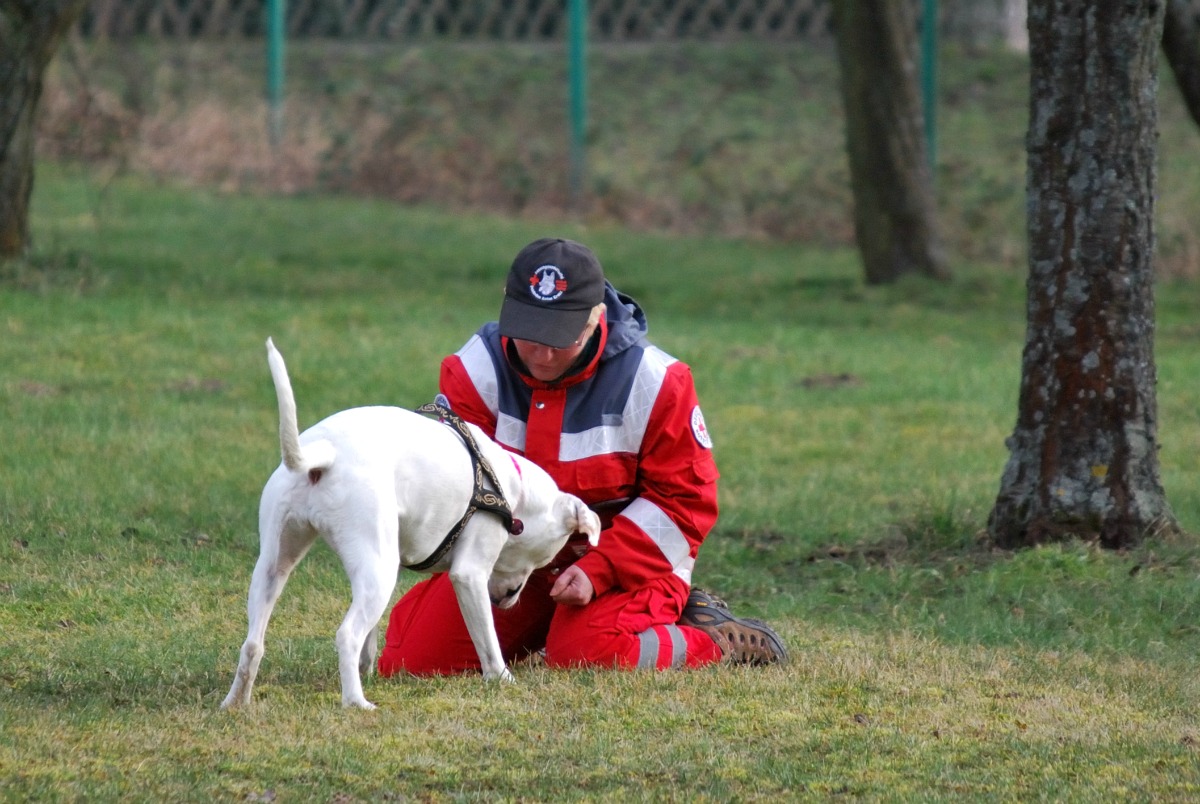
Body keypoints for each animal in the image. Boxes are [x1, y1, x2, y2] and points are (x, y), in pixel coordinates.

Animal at [222, 340, 600, 710]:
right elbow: (488, 644)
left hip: (277, 566)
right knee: (347, 635)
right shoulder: (469, 575)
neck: (511, 488)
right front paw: (502, 679)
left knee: (253, 644)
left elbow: (372, 637)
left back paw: (235, 704)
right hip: (378, 569)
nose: (504, 600)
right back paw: (356, 703)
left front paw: (368, 668)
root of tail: (325, 455)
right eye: (545, 562)